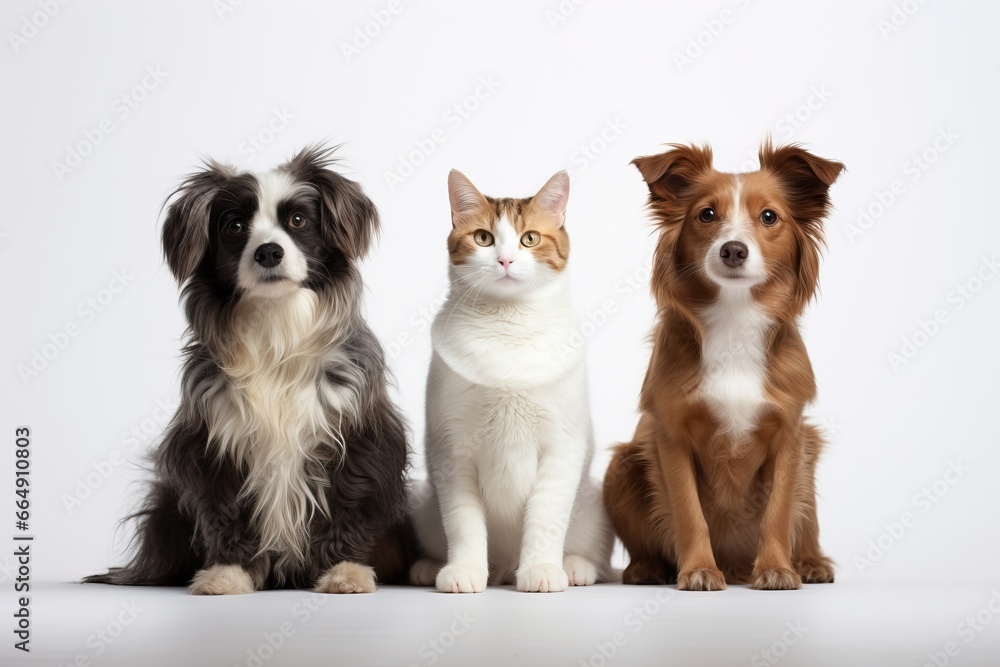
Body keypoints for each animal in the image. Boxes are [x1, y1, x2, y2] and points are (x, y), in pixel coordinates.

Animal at [87, 146, 410, 596]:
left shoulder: (357, 435)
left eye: (298, 220)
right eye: (235, 226)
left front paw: (344, 570)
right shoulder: (213, 439)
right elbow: (225, 510)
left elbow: (348, 503)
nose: (268, 252)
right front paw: (227, 571)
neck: (275, 327)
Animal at [408, 170, 612, 592]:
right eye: (483, 238)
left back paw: (575, 566)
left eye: (529, 238)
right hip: (421, 501)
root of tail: (503, 567)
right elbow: (464, 522)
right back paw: (428, 567)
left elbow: (545, 516)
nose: (505, 259)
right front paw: (464, 571)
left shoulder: (562, 448)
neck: (509, 326)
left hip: (595, 504)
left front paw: (541, 569)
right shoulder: (452, 450)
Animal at [600, 144, 844, 592]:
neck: (734, 318)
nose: (733, 249)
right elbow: (688, 512)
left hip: (811, 449)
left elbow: (779, 511)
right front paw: (697, 569)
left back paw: (810, 562)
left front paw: (777, 569)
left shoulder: (790, 435)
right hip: (622, 465)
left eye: (769, 216)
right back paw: (648, 568)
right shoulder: (670, 435)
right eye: (707, 214)